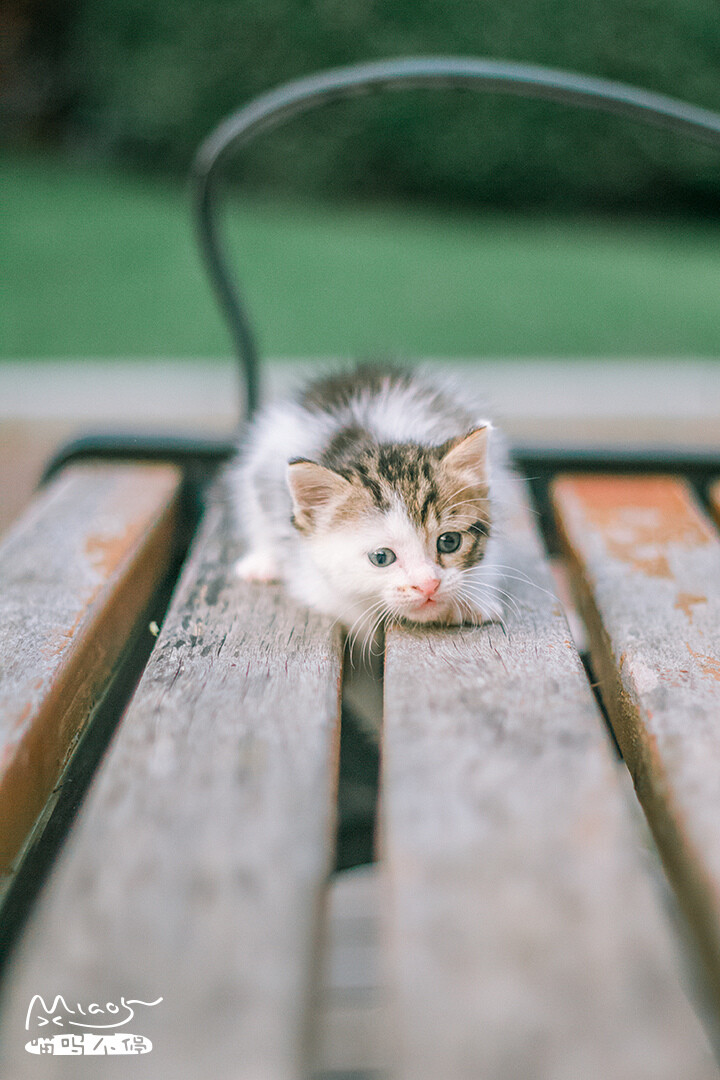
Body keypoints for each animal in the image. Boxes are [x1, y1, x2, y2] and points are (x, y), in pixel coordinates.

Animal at [232, 367, 511, 643]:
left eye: (450, 541)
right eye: (381, 557)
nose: (428, 585)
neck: (372, 443)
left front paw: (472, 601)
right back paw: (262, 562)